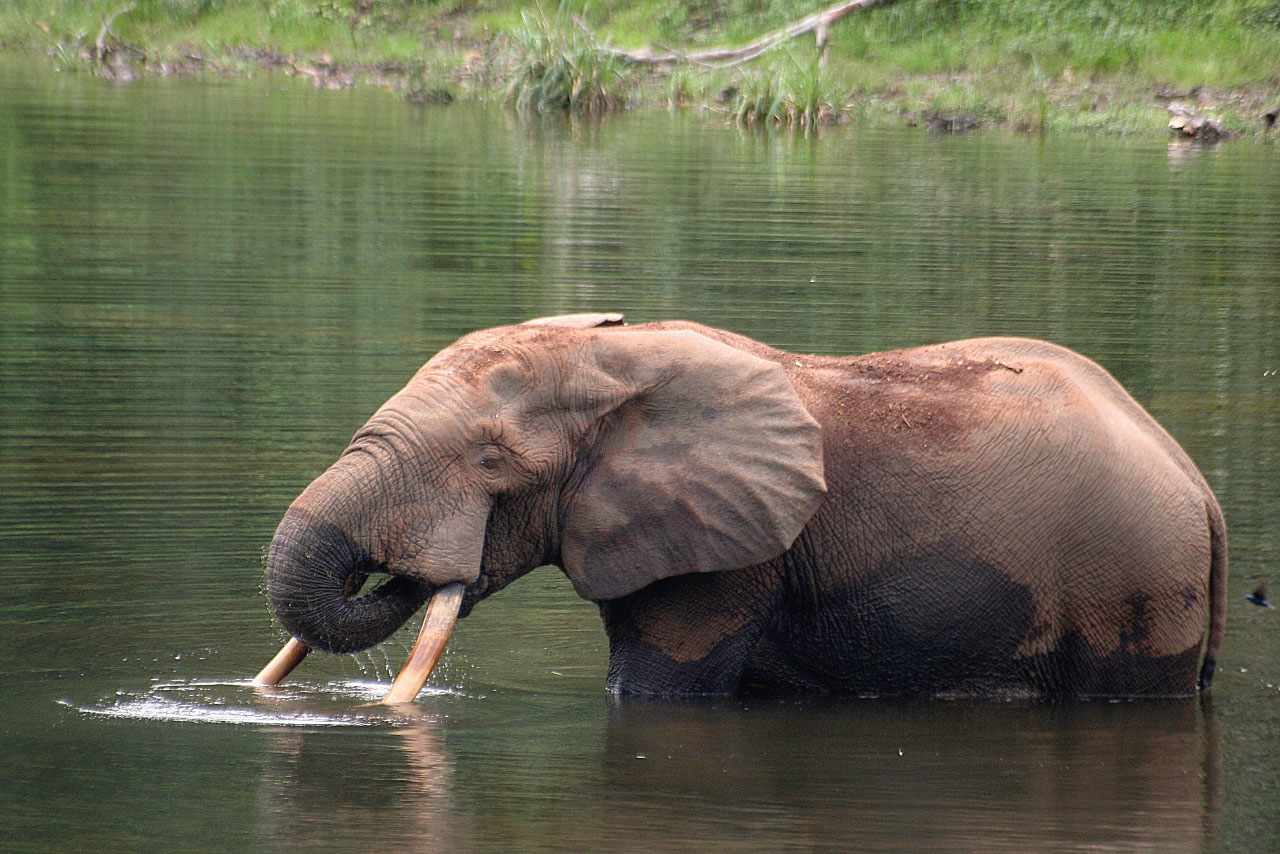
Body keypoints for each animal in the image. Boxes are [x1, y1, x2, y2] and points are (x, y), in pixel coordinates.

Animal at [254, 313, 1227, 700]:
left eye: (492, 461)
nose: (407, 572)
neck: (617, 357)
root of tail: (1200, 486)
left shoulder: (729, 558)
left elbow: (653, 689)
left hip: (1133, 583)